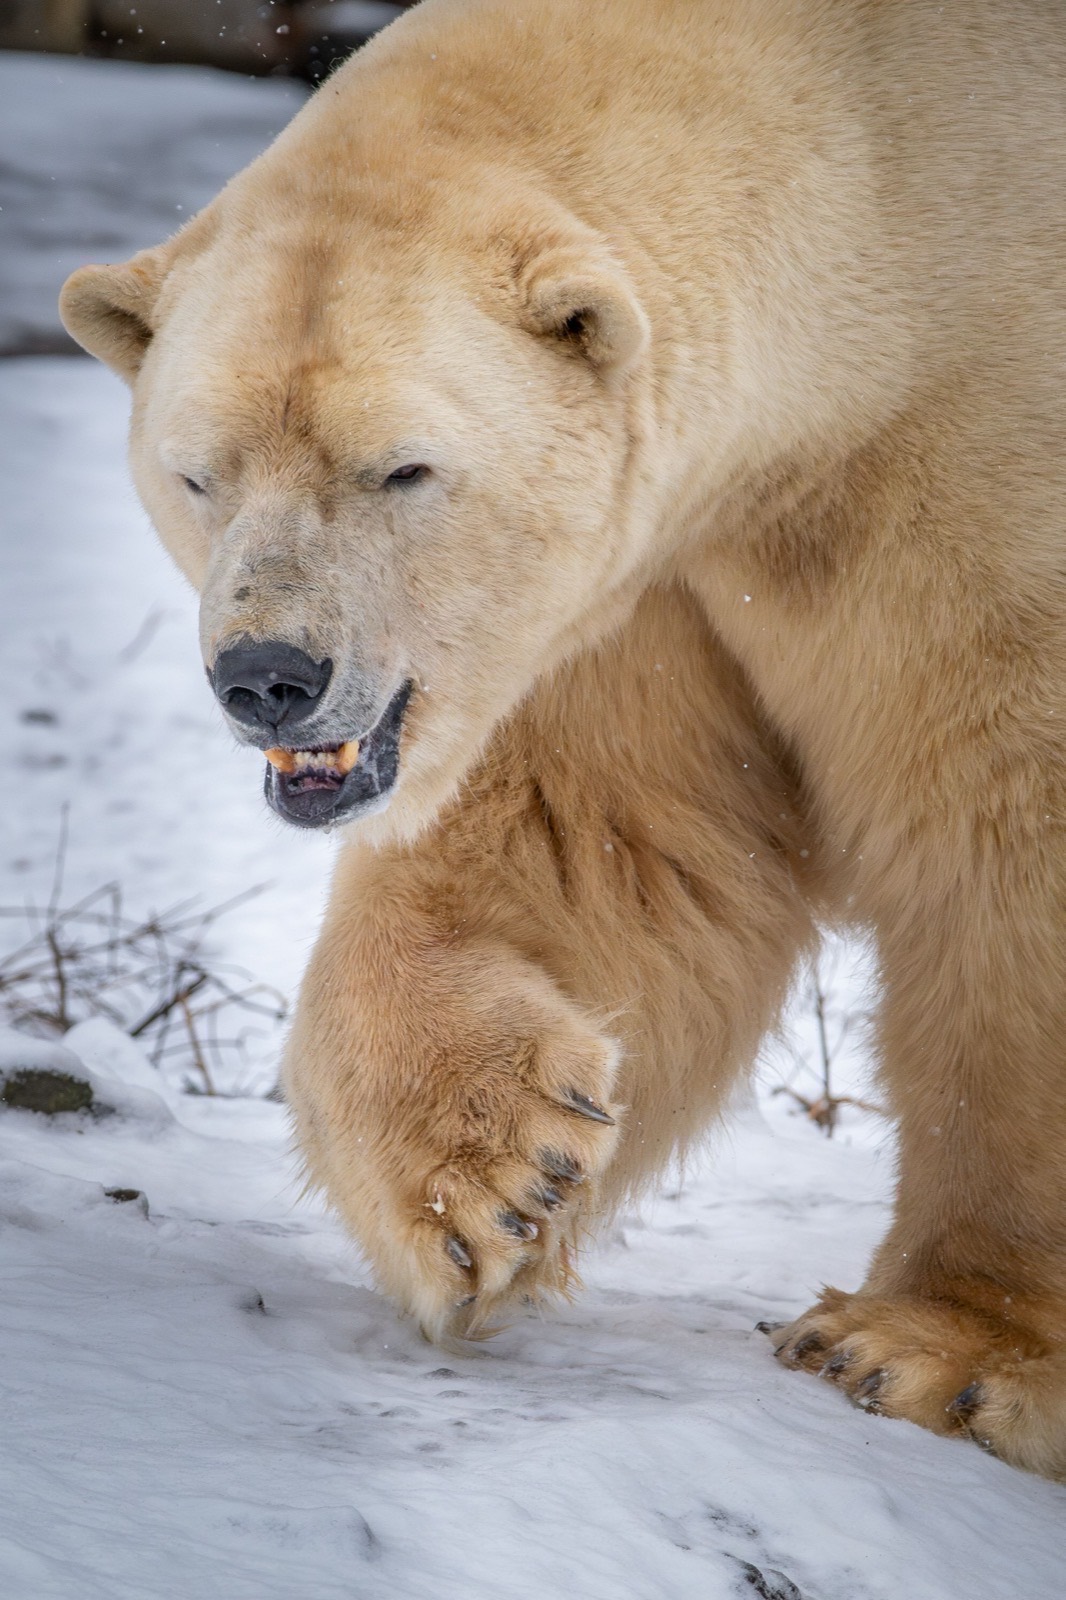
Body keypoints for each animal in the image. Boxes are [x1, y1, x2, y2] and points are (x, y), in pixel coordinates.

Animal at [60, 0, 1066, 1479]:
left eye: (402, 468)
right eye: (198, 470)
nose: (268, 678)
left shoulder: (972, 460)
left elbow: (1006, 833)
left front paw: (930, 1349)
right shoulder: (640, 581)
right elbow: (602, 848)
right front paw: (491, 1176)